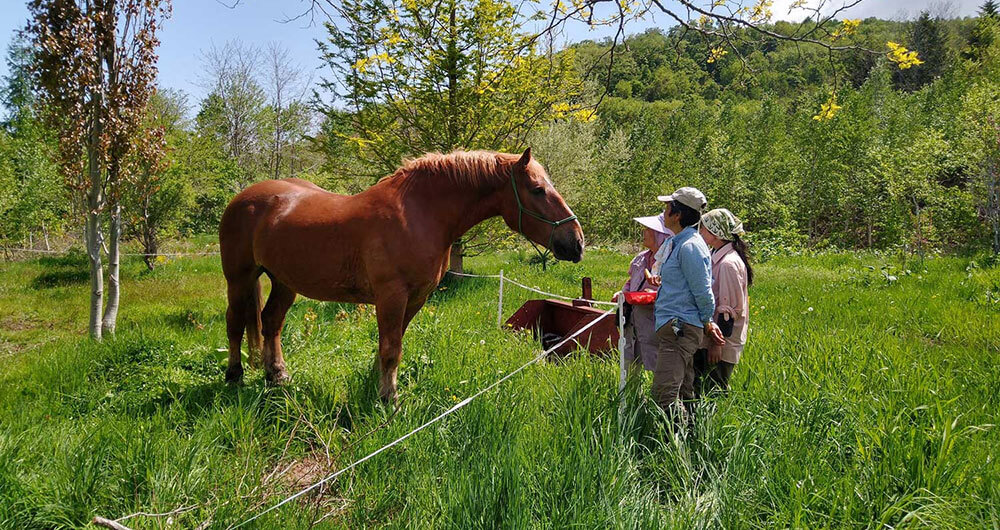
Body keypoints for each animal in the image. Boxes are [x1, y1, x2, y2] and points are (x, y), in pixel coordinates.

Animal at [217, 146, 580, 398]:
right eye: (537, 189)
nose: (576, 242)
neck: (418, 214)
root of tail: (243, 198)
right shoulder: (391, 296)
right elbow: (391, 348)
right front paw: (388, 398)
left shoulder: (415, 298)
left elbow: (393, 344)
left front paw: (377, 383)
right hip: (239, 278)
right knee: (235, 323)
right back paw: (234, 375)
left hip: (284, 281)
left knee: (271, 322)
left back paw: (276, 375)